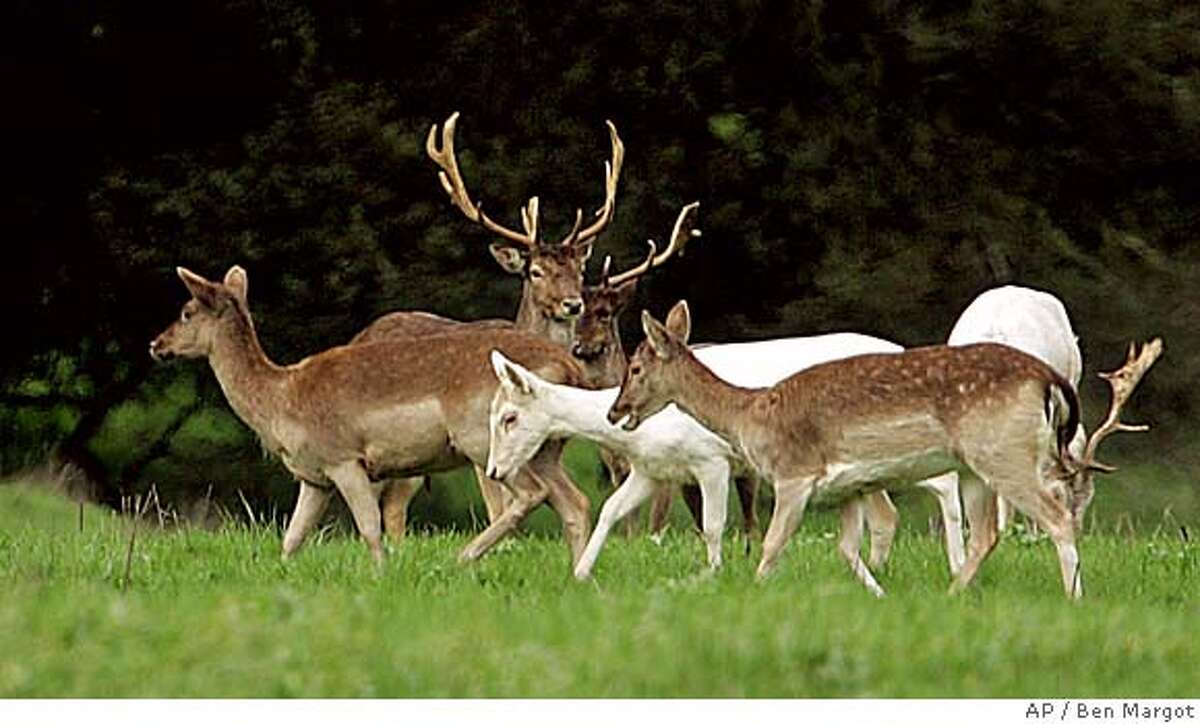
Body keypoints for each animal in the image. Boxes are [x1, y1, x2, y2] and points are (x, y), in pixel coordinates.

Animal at [150, 265, 595, 566]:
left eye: (187, 311)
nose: (156, 343)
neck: (280, 402)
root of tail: (570, 367)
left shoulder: (344, 458)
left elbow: (369, 528)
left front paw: (382, 574)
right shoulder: (314, 477)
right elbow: (292, 538)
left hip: (486, 439)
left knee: (533, 493)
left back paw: (463, 557)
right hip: (547, 448)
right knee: (575, 501)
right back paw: (577, 577)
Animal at [348, 111, 628, 533]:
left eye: (579, 269)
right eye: (535, 271)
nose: (573, 303)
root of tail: (359, 335)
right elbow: (497, 504)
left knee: (393, 503)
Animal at [609, 300, 1161, 600]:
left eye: (635, 367)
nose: (617, 410)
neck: (752, 414)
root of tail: (1047, 378)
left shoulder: (794, 473)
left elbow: (771, 545)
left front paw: (754, 590)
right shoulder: (848, 487)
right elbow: (847, 549)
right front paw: (879, 593)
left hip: (1004, 452)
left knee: (1056, 516)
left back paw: (1074, 597)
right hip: (978, 466)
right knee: (989, 534)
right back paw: (951, 594)